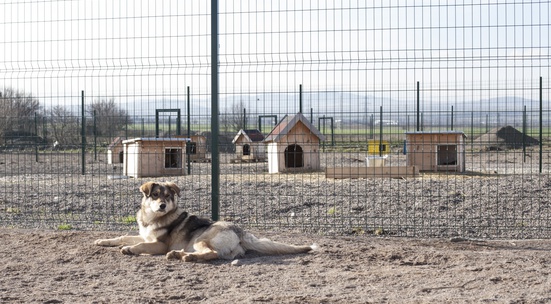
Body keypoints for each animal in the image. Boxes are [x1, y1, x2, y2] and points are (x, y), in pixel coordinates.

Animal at [95, 182, 320, 262]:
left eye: (167, 196)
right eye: (156, 195)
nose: (162, 206)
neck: (152, 219)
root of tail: (239, 230)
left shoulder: (158, 244)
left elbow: (140, 245)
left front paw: (129, 250)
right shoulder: (144, 235)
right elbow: (123, 236)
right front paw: (102, 242)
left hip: (200, 240)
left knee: (211, 254)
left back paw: (185, 257)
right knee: (212, 255)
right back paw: (178, 254)